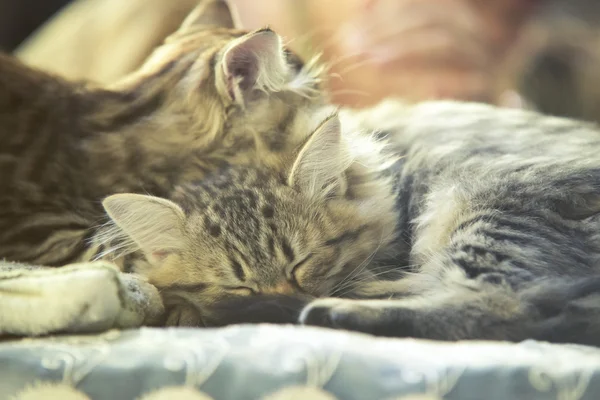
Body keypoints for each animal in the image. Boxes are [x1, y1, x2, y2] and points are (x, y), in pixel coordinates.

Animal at [103, 101, 600, 346]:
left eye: (301, 263)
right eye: (238, 284)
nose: (281, 298)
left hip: (483, 202)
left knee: (506, 306)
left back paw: (332, 310)